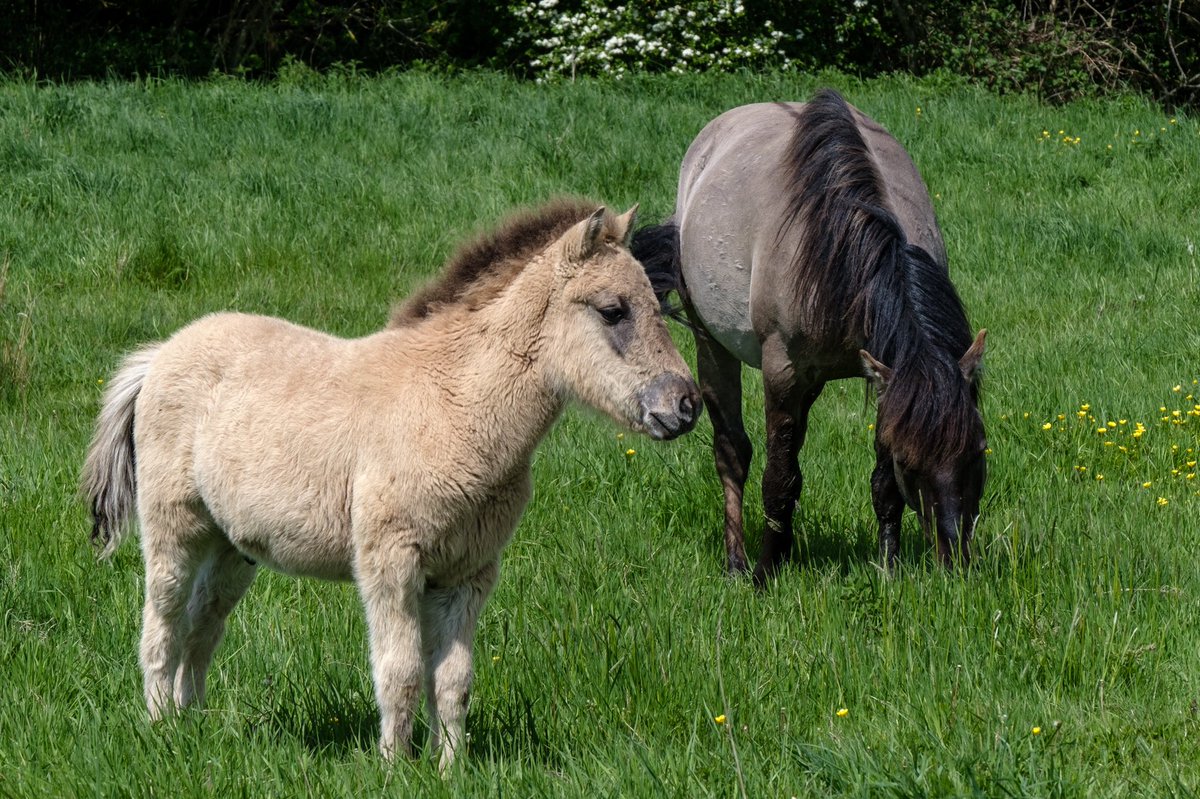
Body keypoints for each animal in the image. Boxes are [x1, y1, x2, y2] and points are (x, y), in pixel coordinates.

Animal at [82, 198, 701, 769]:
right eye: (613, 311)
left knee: (203, 627)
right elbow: (399, 673)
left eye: (658, 305)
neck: (454, 404)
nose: (686, 405)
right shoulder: (391, 562)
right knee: (162, 623)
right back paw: (161, 727)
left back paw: (193, 722)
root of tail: (162, 354)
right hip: (175, 530)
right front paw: (395, 767)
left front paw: (450, 769)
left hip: (234, 549)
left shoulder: (466, 575)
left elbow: (453, 681)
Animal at [632, 90, 987, 584]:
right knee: (732, 452)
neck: (844, 243)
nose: (955, 562)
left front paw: (888, 567)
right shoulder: (783, 373)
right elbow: (780, 480)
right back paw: (736, 563)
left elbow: (882, 487)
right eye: (911, 463)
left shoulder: (881, 377)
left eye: (978, 450)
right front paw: (765, 574)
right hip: (714, 345)